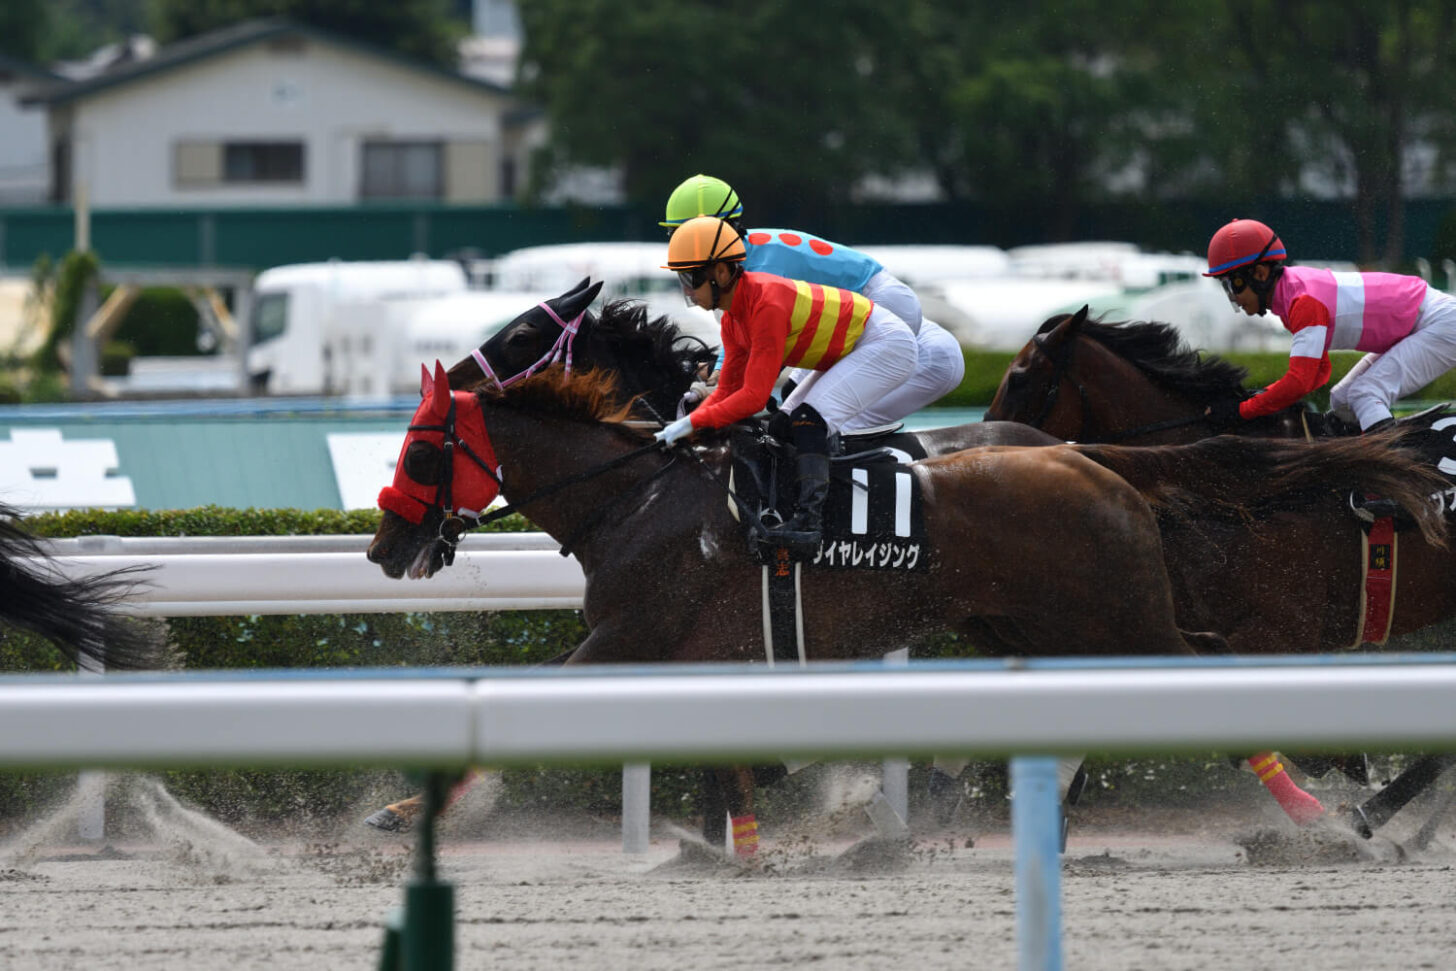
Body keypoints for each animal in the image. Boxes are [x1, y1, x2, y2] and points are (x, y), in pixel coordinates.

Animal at [366, 362, 1444, 850]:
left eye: (418, 450)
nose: (384, 548)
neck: (633, 498)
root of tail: (1087, 457)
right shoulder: (689, 651)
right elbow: (720, 755)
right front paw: (735, 839)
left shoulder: (626, 634)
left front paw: (399, 806)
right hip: (1034, 621)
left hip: (1113, 613)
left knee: (1213, 676)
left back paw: (1327, 816)